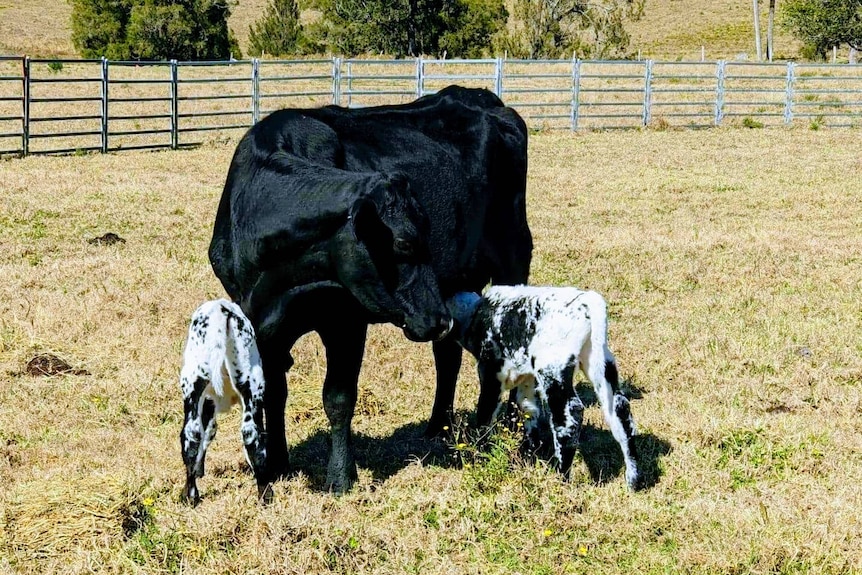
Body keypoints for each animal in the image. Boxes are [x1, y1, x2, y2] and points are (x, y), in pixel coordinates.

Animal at [178, 300, 266, 506]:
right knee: (251, 435)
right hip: (252, 386)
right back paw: (264, 495)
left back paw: (189, 495)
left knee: (192, 434)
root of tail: (221, 308)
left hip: (193, 381)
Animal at [209, 86, 532, 496]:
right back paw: (440, 427)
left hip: (512, 257)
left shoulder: (346, 319)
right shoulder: (258, 322)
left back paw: (506, 422)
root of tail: (479, 97)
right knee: (448, 355)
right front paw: (277, 466)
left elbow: (338, 396)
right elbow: (274, 391)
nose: (437, 320)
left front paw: (340, 477)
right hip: (460, 279)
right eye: (405, 244)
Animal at [446, 288, 640, 490]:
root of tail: (589, 301)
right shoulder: (527, 379)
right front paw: (529, 453)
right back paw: (633, 481)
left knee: (569, 415)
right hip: (599, 362)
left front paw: (481, 453)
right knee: (620, 409)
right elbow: (528, 408)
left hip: (553, 368)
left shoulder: (491, 374)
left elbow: (485, 411)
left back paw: (561, 478)